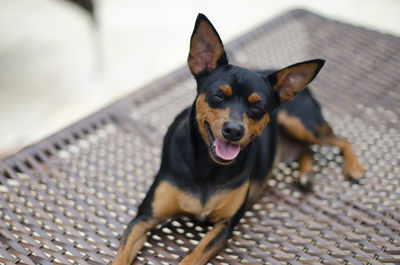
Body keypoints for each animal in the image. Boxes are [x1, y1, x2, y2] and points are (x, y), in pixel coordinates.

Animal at [113, 13, 366, 264]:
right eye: (218, 95)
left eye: (258, 106)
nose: (234, 130)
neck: (207, 167)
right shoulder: (144, 218)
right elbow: (121, 256)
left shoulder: (224, 226)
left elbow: (192, 258)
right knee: (308, 149)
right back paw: (307, 175)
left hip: (303, 125)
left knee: (340, 139)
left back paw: (353, 168)